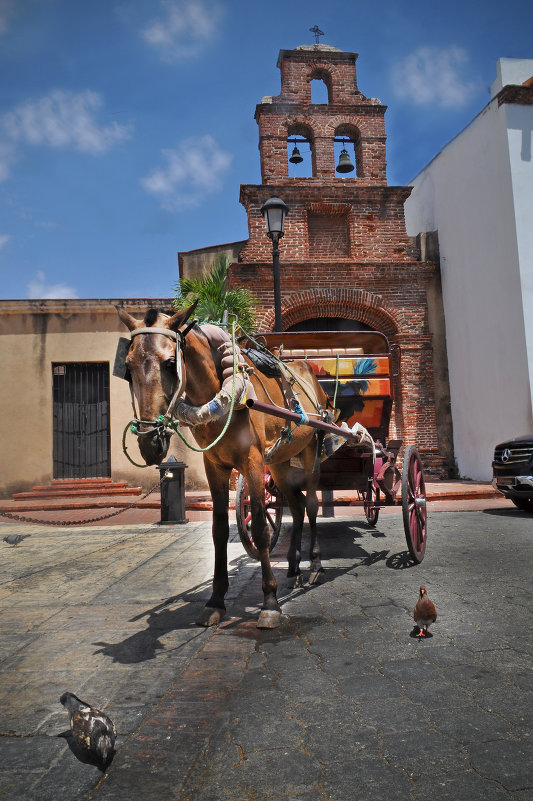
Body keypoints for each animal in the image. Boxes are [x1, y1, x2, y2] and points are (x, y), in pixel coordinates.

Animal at [118, 304, 330, 628]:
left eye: (170, 363)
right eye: (127, 367)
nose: (149, 442)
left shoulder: (253, 462)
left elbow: (260, 528)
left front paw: (270, 601)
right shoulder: (214, 466)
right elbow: (218, 531)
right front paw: (216, 600)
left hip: (310, 453)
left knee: (312, 505)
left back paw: (315, 564)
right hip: (280, 462)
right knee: (295, 507)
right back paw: (294, 570)